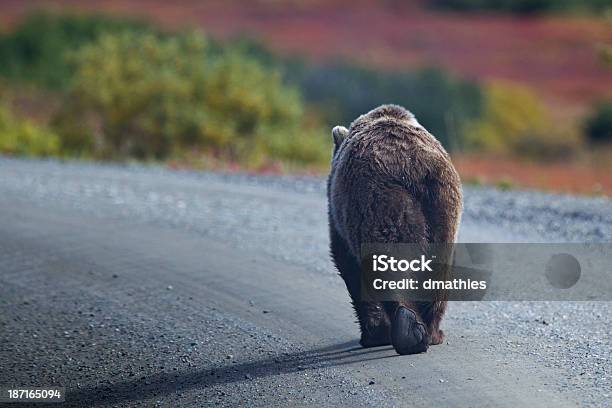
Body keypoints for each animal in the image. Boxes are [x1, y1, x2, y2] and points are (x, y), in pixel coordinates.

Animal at [328, 104, 462, 354]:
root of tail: (414, 165)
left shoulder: (339, 218)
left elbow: (348, 265)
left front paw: (374, 334)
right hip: (442, 207)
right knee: (439, 269)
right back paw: (426, 332)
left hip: (377, 201)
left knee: (386, 260)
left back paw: (410, 330)